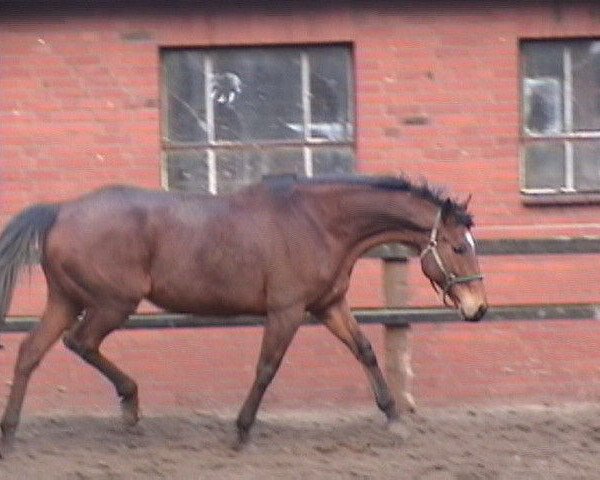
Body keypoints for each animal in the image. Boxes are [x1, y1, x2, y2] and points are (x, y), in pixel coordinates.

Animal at [0, 175, 488, 454]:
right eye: (458, 247)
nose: (478, 308)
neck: (319, 223)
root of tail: (60, 210)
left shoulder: (328, 305)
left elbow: (365, 350)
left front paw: (393, 419)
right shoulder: (287, 310)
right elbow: (267, 368)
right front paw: (240, 432)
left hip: (66, 300)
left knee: (30, 352)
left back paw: (12, 434)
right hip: (111, 303)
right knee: (79, 343)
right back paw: (130, 404)